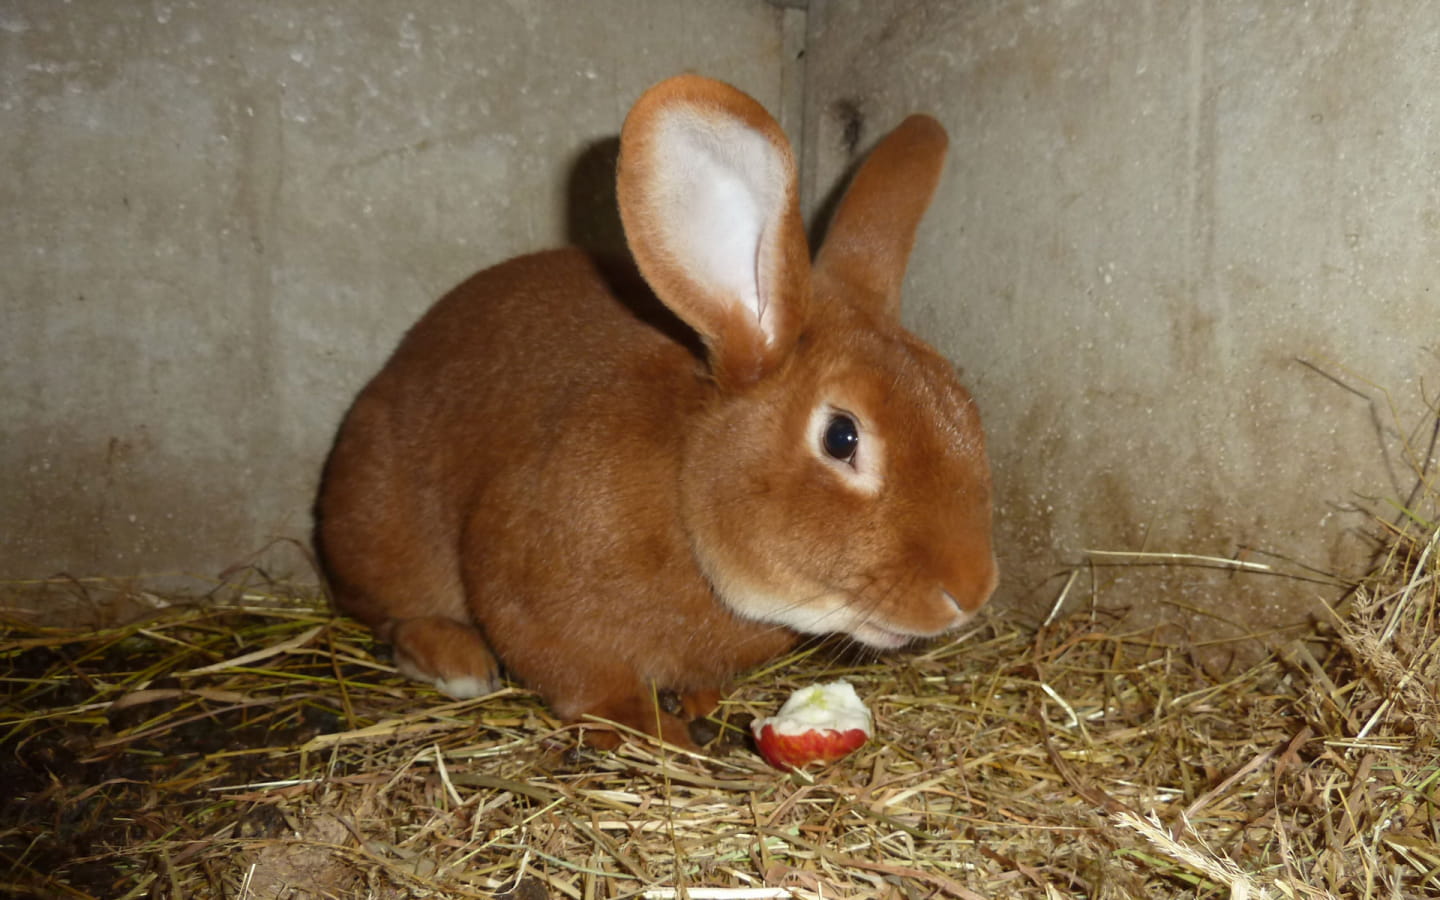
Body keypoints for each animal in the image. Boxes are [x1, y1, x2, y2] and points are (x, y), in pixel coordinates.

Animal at [315, 73, 996, 748]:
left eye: (963, 403)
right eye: (841, 437)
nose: (970, 590)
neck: (685, 492)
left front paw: (698, 700)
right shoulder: (520, 584)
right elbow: (581, 682)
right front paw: (649, 726)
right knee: (390, 613)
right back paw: (456, 660)